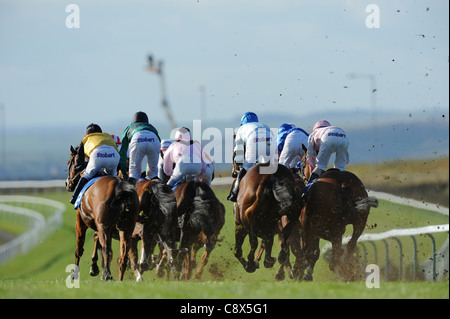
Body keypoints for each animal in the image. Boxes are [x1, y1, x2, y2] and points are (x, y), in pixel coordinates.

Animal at [65, 146, 139, 282]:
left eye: (69, 163)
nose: (67, 183)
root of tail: (121, 188)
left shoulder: (81, 223)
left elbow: (79, 248)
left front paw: (75, 273)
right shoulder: (108, 228)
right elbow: (97, 241)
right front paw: (94, 267)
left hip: (103, 225)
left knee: (105, 248)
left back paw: (107, 275)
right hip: (127, 227)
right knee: (122, 256)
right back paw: (118, 279)